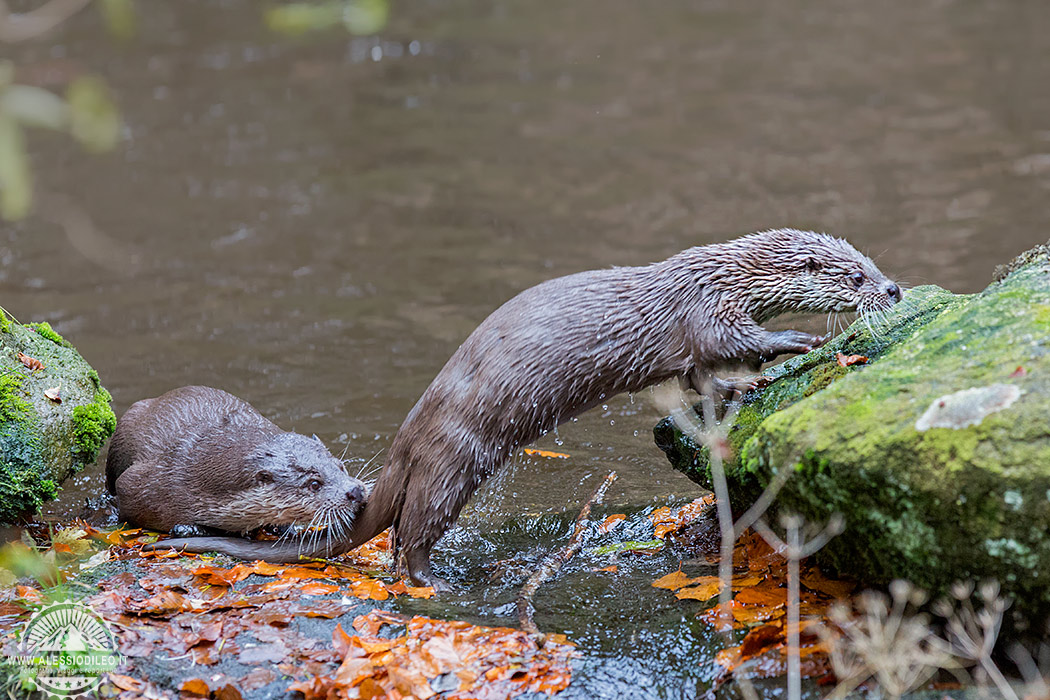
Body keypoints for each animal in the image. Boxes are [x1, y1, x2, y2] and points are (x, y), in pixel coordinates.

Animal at [108, 386, 367, 545]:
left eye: (341, 467)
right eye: (314, 484)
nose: (355, 491)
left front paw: (285, 528)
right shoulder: (141, 484)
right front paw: (190, 529)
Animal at [148, 229, 902, 587]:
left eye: (873, 260)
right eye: (856, 275)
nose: (893, 289)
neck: (720, 276)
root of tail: (405, 440)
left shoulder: (695, 349)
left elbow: (708, 379)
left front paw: (746, 384)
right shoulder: (705, 313)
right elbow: (731, 343)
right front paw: (798, 341)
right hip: (453, 461)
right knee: (409, 538)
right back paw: (436, 582)